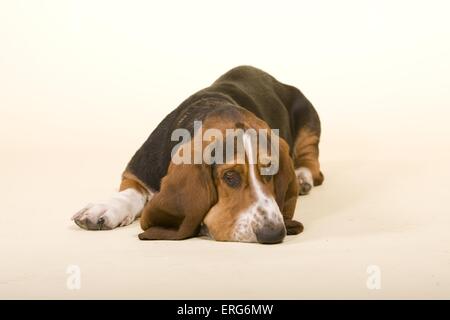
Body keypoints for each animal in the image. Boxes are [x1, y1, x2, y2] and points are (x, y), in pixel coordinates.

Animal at [72, 66, 322, 244]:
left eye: (270, 171)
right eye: (230, 177)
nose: (274, 233)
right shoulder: (139, 172)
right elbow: (131, 192)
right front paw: (105, 209)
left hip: (308, 117)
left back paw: (302, 177)